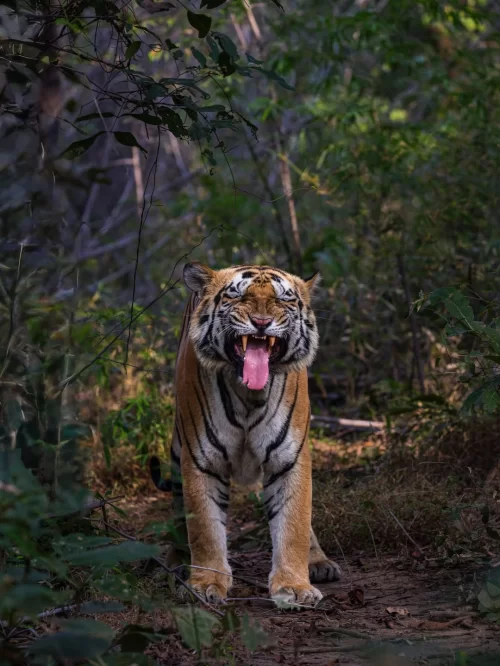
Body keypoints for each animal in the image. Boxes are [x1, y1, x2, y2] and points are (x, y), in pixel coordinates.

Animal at [150, 262, 341, 605]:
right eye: (237, 296)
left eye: (283, 300)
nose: (261, 323)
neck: (250, 395)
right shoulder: (202, 460)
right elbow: (205, 528)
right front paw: (205, 584)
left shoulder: (289, 458)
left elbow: (294, 522)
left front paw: (294, 586)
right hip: (177, 447)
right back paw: (176, 562)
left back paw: (319, 561)